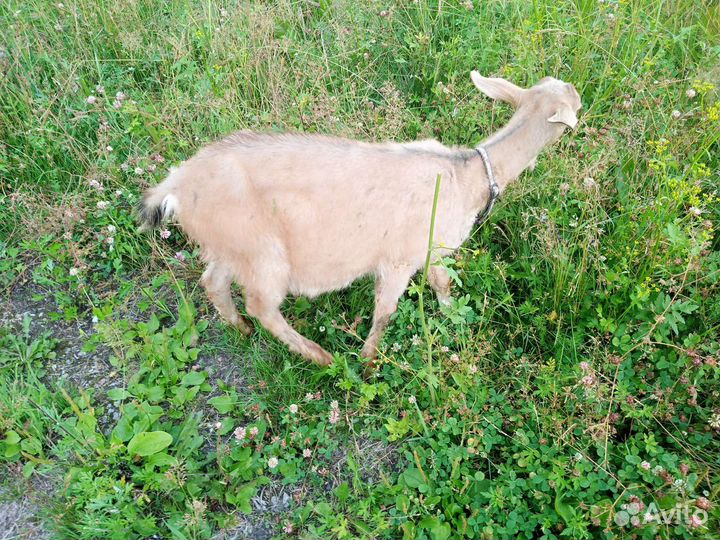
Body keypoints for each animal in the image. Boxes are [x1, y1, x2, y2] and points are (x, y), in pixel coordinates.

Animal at [139, 72, 581, 371]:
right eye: (571, 102)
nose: (580, 95)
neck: (467, 176)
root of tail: (176, 185)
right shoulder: (399, 258)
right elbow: (385, 310)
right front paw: (369, 361)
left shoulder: (431, 250)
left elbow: (441, 285)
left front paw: (451, 318)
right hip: (262, 252)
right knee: (262, 304)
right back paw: (321, 357)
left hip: (227, 246)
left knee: (213, 282)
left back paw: (241, 330)